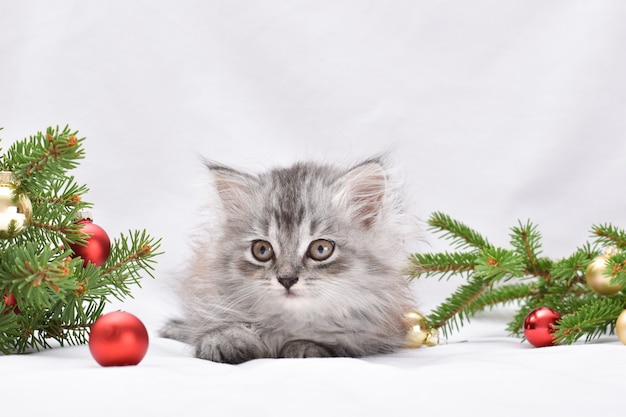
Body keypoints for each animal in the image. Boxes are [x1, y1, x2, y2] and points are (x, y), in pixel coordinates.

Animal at [161, 158, 414, 362]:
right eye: (262, 250)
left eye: (321, 249)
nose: (287, 279)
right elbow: (218, 328)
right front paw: (224, 341)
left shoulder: (373, 334)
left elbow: (334, 342)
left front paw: (302, 347)